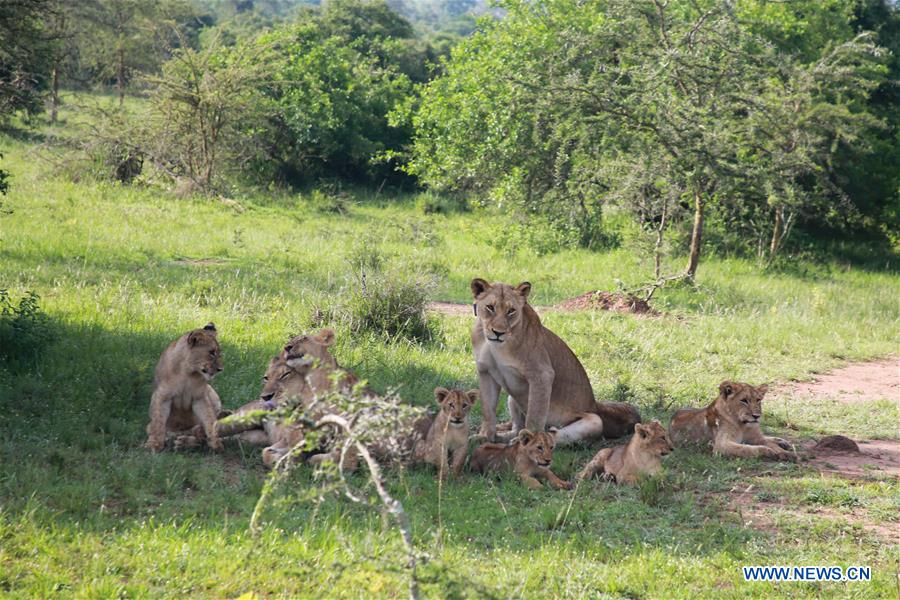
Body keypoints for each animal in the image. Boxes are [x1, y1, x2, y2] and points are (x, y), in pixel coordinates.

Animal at [145, 323, 224, 452]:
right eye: (211, 352)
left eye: (219, 353)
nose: (221, 369)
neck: (188, 373)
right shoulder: (162, 396)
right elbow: (158, 421)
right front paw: (154, 444)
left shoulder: (200, 398)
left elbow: (209, 419)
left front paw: (216, 443)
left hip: (212, 393)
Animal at [470, 278, 641, 445]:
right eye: (490, 307)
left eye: (511, 311)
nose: (498, 333)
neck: (495, 345)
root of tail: (595, 405)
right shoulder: (485, 372)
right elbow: (488, 410)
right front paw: (485, 436)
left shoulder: (542, 374)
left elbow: (535, 415)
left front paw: (528, 444)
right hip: (512, 399)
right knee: (516, 428)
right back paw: (502, 438)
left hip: (594, 420)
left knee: (553, 435)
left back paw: (535, 436)